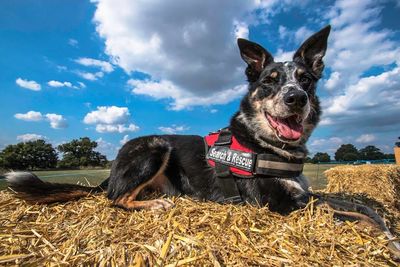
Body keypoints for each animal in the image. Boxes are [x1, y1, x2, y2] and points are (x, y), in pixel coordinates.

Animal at [6, 25, 400, 258]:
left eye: (305, 80)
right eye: (270, 81)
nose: (296, 98)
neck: (266, 144)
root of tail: (113, 168)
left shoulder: (305, 194)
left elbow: (358, 207)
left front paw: (386, 230)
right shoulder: (280, 204)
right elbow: (345, 213)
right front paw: (385, 238)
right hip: (155, 147)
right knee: (115, 199)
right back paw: (154, 204)